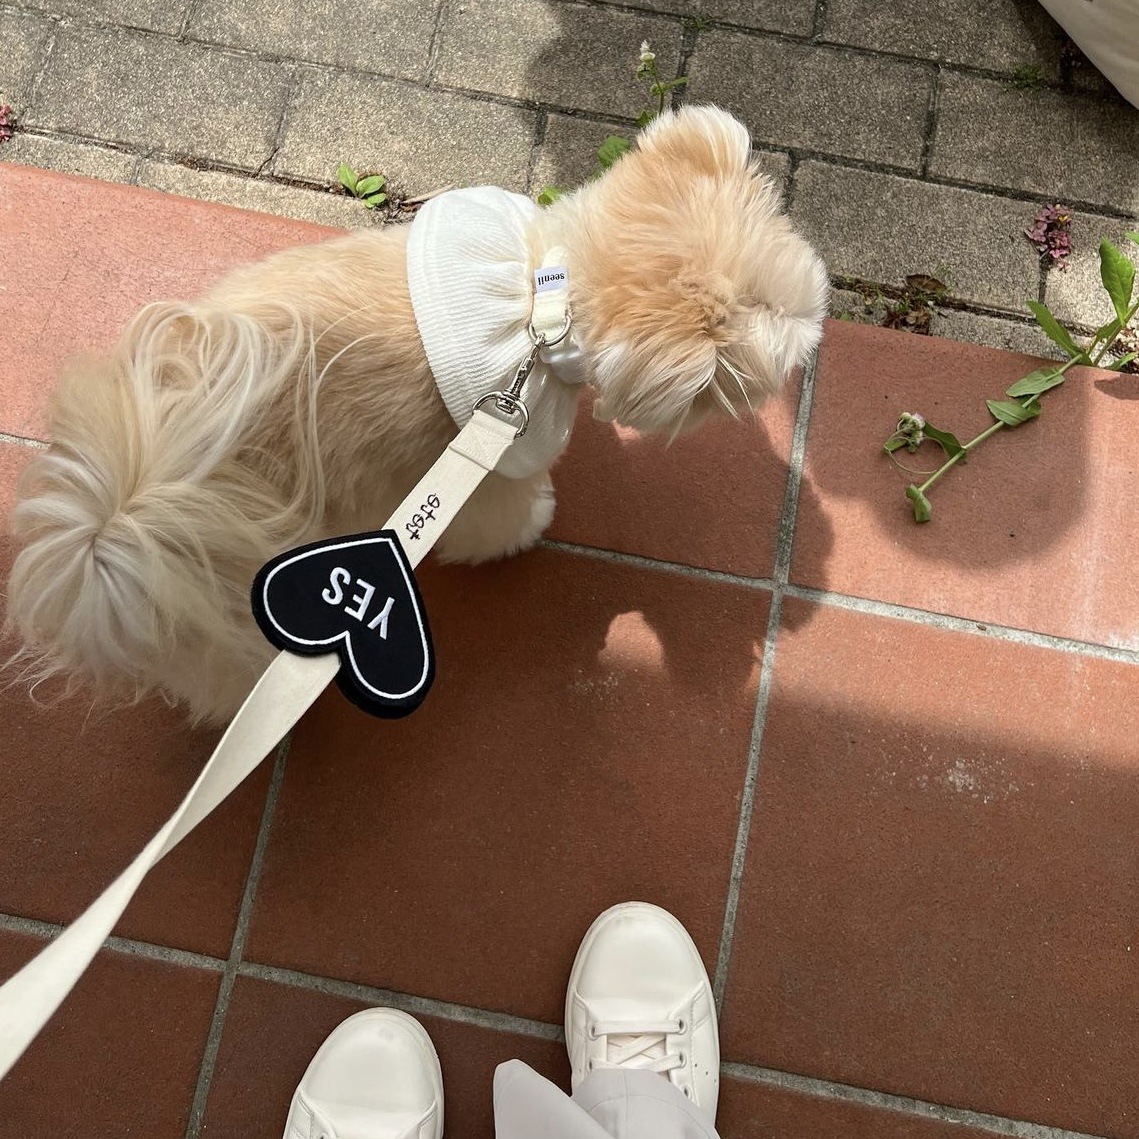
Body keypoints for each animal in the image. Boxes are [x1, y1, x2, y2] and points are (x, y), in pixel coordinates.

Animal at [5, 106, 828, 725]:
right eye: (779, 349)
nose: (816, 341)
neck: (545, 290)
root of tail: (109, 530)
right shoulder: (495, 457)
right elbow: (501, 516)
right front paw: (532, 522)